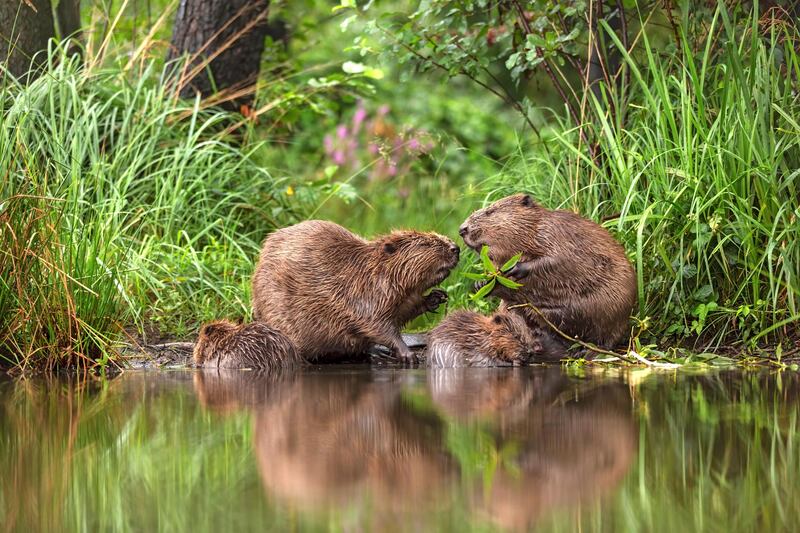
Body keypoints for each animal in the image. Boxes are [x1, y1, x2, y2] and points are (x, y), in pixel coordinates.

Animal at [250, 219, 462, 362]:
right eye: (426, 243)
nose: (455, 248)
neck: (371, 271)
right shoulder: (363, 294)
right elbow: (377, 325)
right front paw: (407, 354)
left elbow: (405, 311)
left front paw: (437, 297)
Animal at [456, 193, 636, 352]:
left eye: (490, 212)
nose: (462, 229)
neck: (534, 228)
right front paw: (481, 283)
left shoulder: (554, 233)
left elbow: (557, 259)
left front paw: (515, 268)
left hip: (612, 309)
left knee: (606, 339)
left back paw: (586, 351)